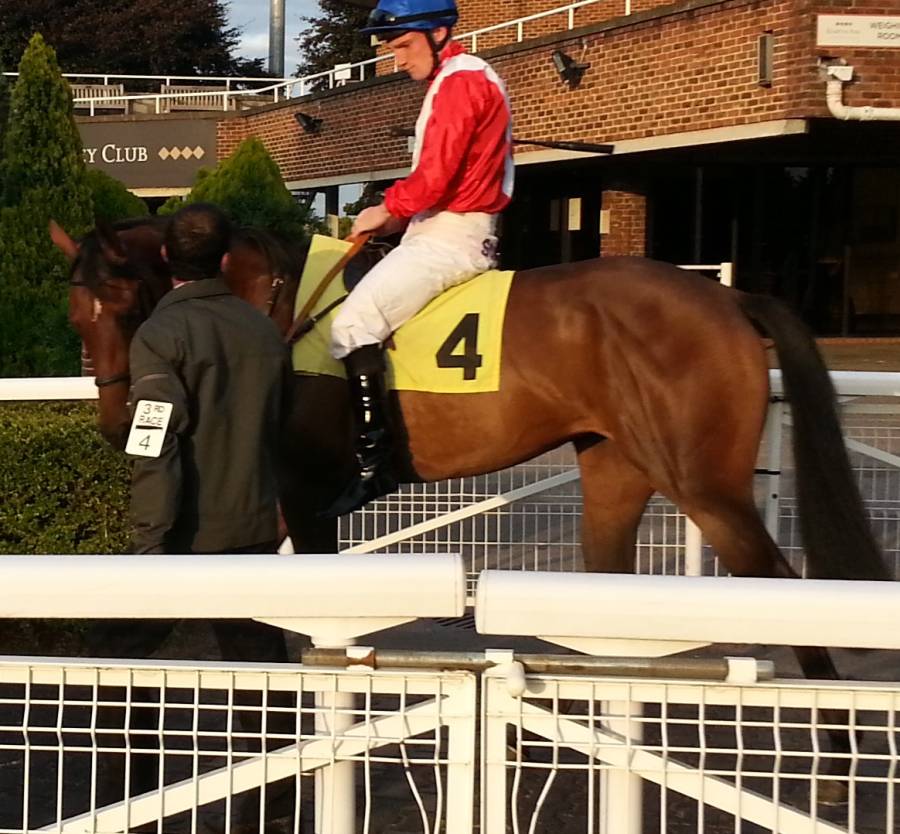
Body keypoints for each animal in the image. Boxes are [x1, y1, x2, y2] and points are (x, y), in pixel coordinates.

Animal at [53, 216, 889, 803]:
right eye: (75, 315)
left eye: (123, 302)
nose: (117, 421)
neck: (276, 307)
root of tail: (725, 295)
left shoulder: (305, 499)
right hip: (616, 469)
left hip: (704, 483)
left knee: (789, 589)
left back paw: (835, 765)